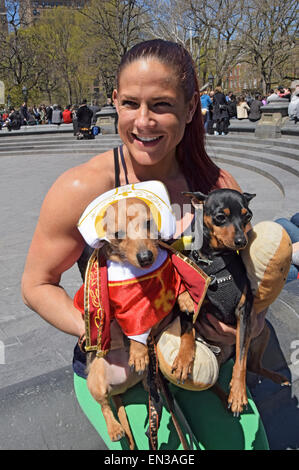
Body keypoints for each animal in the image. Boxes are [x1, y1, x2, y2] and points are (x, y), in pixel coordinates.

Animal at [85, 197, 196, 444]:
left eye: (148, 223)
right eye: (117, 234)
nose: (146, 258)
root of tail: (120, 389)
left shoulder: (170, 275)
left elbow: (180, 283)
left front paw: (186, 299)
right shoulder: (126, 309)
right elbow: (135, 331)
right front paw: (138, 352)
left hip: (147, 380)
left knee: (151, 389)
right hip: (95, 382)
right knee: (105, 407)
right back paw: (115, 429)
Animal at [183, 189, 290, 416]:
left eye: (247, 216)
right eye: (220, 217)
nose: (242, 240)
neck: (216, 261)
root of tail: (225, 355)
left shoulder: (244, 315)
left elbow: (241, 361)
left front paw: (239, 394)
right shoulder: (198, 307)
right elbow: (188, 326)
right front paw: (184, 358)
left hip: (261, 333)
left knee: (250, 364)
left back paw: (276, 379)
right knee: (213, 384)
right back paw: (225, 399)